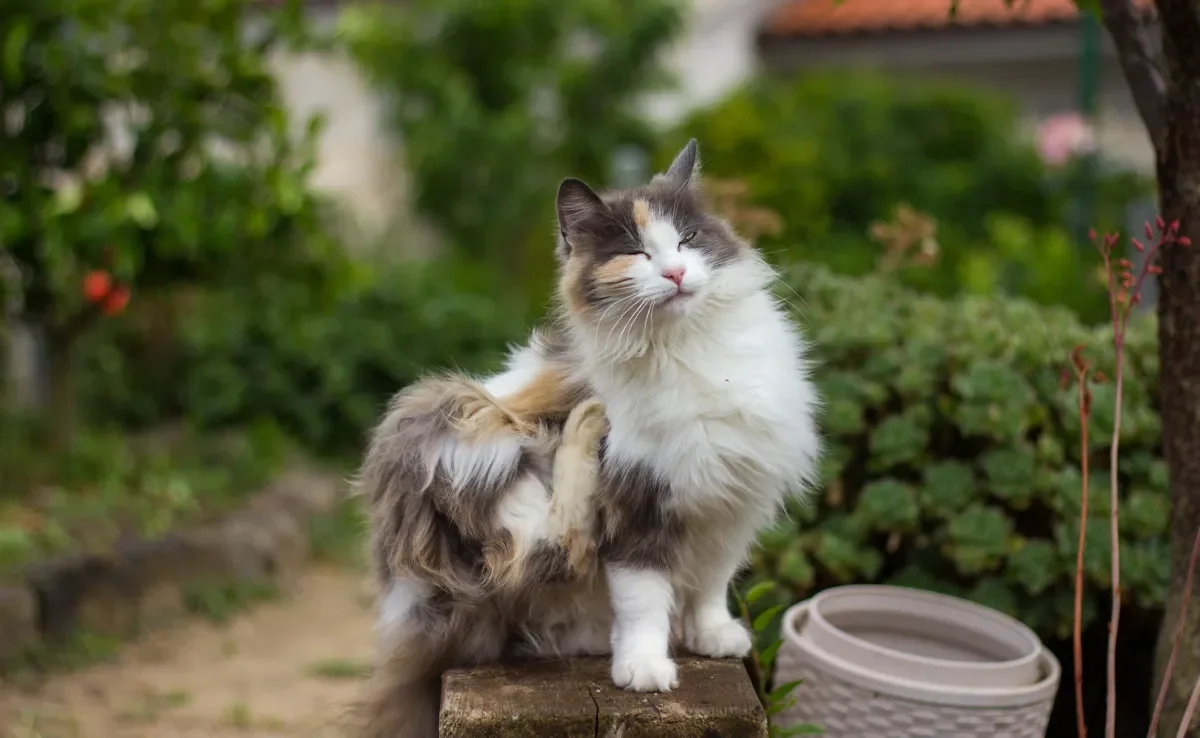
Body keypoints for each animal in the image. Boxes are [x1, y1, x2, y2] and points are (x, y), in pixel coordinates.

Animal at [350, 139, 820, 738]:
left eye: (688, 238)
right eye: (636, 253)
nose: (675, 273)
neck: (683, 345)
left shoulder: (732, 503)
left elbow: (713, 582)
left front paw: (713, 636)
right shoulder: (637, 503)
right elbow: (642, 597)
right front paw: (644, 669)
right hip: (454, 430)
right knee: (548, 548)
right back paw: (587, 423)